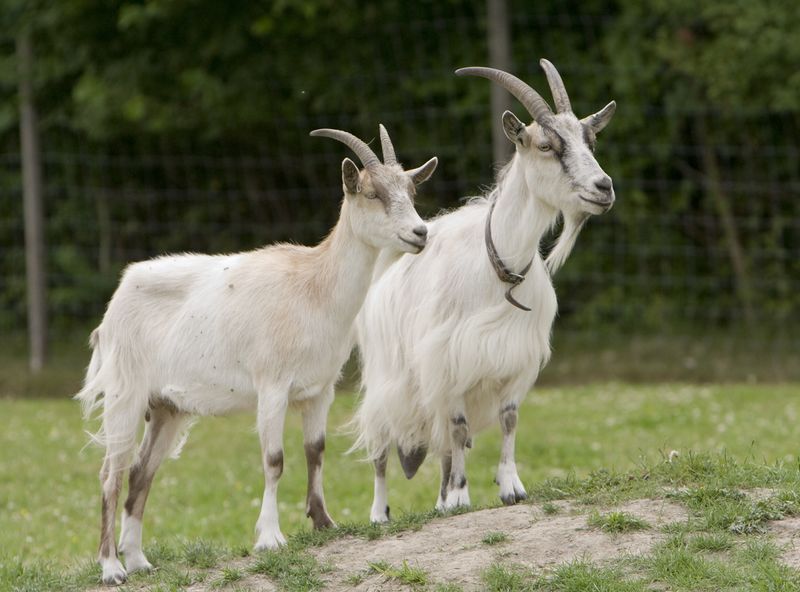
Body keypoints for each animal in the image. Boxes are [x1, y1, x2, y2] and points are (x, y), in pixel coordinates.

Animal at [76, 126, 438, 585]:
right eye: (372, 193)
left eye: (411, 189)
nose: (420, 233)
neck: (314, 288)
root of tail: (117, 300)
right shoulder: (272, 387)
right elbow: (274, 459)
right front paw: (270, 538)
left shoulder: (319, 391)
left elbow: (315, 451)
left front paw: (324, 522)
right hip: (125, 395)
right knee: (111, 475)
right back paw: (111, 568)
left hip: (166, 408)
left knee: (141, 472)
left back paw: (139, 561)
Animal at [353, 60, 616, 522]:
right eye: (546, 145)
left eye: (592, 140)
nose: (604, 188)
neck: (499, 267)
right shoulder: (448, 359)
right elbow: (459, 428)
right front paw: (461, 496)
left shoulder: (515, 355)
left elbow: (508, 420)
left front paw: (510, 487)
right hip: (387, 378)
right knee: (383, 447)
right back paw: (381, 513)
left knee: (440, 443)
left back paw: (440, 500)